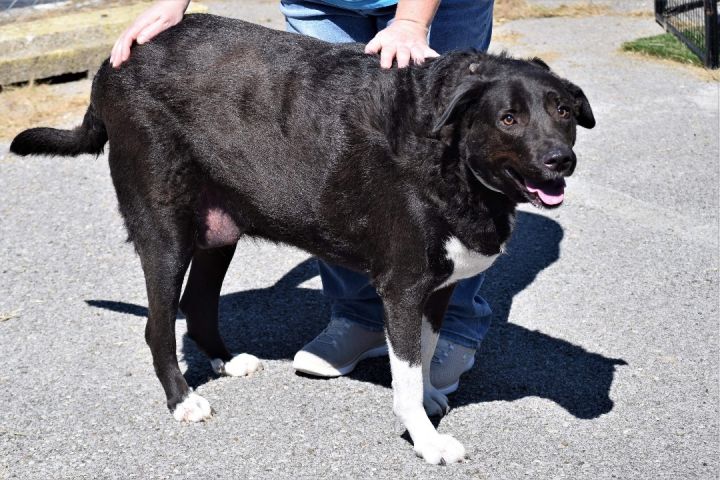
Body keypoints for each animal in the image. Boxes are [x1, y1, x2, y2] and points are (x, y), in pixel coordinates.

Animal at [11, 15, 592, 464]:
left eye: (562, 111)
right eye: (509, 119)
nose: (560, 161)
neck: (450, 157)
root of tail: (112, 64)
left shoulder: (439, 289)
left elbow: (424, 357)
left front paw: (429, 397)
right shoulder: (404, 288)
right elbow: (403, 376)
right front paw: (426, 441)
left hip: (219, 228)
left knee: (197, 304)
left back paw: (225, 359)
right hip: (165, 230)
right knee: (158, 326)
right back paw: (183, 400)